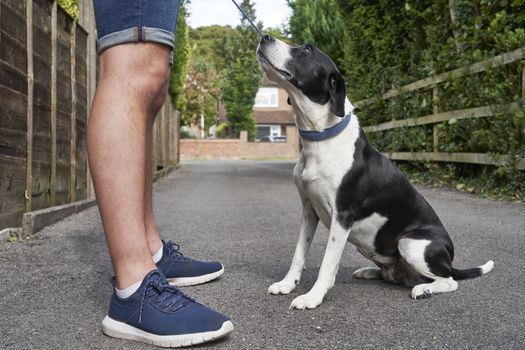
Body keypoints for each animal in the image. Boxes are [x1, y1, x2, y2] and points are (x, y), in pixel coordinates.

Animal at [256, 35, 494, 308]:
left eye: (306, 50)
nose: (265, 37)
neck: (322, 137)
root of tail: (450, 260)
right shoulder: (308, 211)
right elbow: (299, 253)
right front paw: (287, 284)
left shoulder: (342, 217)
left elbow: (327, 263)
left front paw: (312, 297)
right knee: (395, 275)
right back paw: (371, 272)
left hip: (411, 243)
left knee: (449, 281)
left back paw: (425, 289)